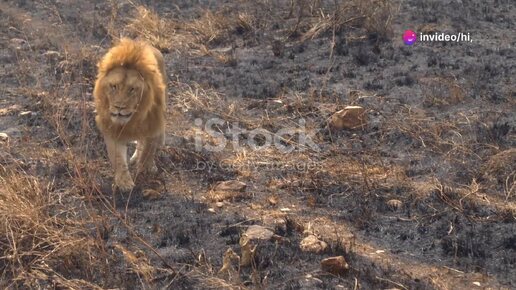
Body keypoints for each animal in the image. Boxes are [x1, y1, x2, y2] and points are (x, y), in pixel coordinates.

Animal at [92, 39, 165, 193]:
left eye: (132, 89)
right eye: (113, 86)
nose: (119, 107)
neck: (130, 121)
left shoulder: (153, 124)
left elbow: (148, 149)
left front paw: (145, 169)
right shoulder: (112, 131)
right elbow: (118, 159)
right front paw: (124, 183)